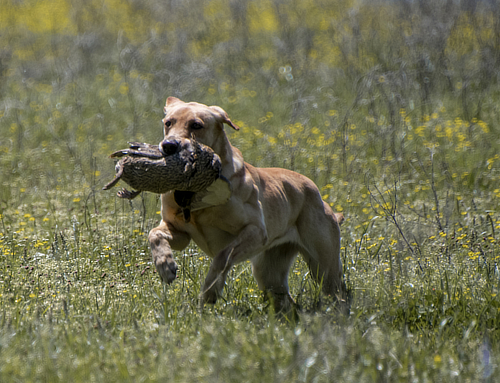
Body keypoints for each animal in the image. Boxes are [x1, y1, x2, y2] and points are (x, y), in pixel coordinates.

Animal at [146, 97, 346, 314]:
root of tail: (317, 194)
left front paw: (210, 292)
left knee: (339, 295)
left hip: (324, 267)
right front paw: (165, 266)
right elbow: (154, 234)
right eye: (168, 123)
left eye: (196, 125)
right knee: (288, 302)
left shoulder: (256, 232)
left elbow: (222, 256)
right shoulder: (179, 233)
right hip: (268, 274)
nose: (168, 145)